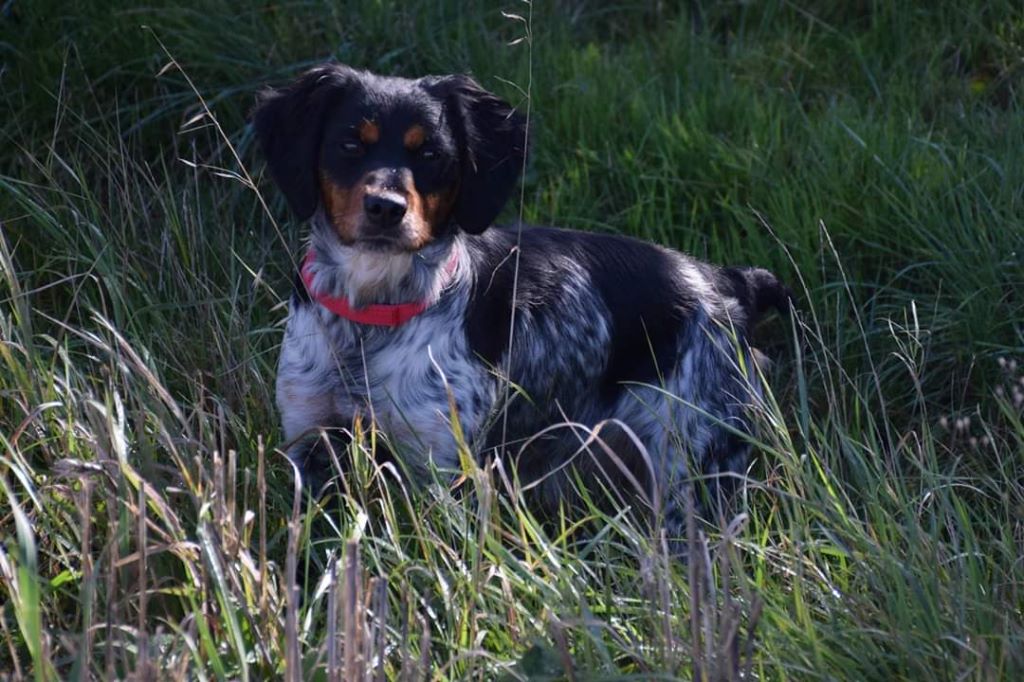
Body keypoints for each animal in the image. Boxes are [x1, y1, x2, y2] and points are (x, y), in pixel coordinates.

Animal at [251, 63, 786, 540]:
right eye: (349, 144)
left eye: (431, 154)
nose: (386, 208)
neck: (370, 317)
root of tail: (726, 281)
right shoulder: (308, 440)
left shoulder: (440, 467)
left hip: (694, 472)